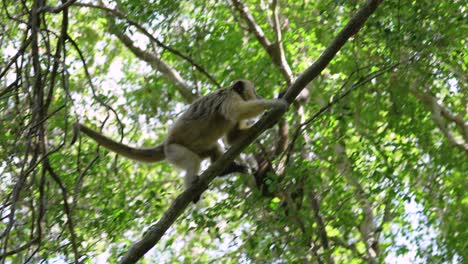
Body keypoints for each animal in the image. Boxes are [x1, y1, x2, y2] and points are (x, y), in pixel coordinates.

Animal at [71, 80, 288, 202]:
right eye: (255, 92)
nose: (258, 94)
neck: (231, 90)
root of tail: (165, 144)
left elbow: (231, 138)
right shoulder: (228, 97)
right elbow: (237, 112)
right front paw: (275, 103)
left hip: (195, 149)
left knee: (212, 148)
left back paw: (227, 169)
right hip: (174, 151)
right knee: (191, 161)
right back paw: (192, 189)